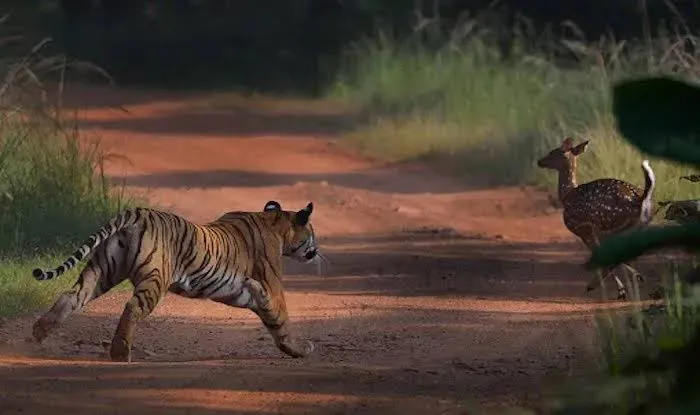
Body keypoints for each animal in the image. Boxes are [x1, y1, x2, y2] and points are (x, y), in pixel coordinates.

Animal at [31, 200, 320, 362]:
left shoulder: (237, 291)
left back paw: (39, 332)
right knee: (132, 308)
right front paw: (301, 349)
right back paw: (121, 353)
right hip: (155, 279)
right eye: (312, 234)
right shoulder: (273, 286)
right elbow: (281, 321)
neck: (275, 223)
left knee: (70, 296)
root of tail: (137, 212)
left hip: (103, 270)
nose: (316, 251)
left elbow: (265, 308)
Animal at [536, 137, 656, 300]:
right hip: (634, 228)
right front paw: (633, 280)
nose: (539, 161)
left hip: (611, 225)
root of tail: (640, 198)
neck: (567, 196)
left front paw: (622, 289)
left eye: (553, 152)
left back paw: (596, 286)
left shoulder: (583, 229)